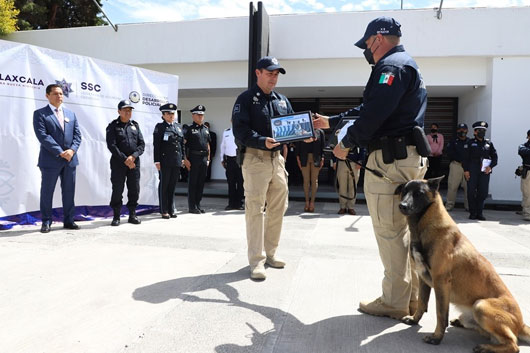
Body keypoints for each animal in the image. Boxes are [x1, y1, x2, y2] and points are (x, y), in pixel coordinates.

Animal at [394, 177, 524, 352]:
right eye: (404, 191)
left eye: (419, 193)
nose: (402, 206)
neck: (424, 225)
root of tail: (522, 324)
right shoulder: (423, 278)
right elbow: (422, 302)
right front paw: (415, 320)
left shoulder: (441, 282)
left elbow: (441, 313)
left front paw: (436, 338)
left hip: (481, 305)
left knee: (513, 344)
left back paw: (485, 347)